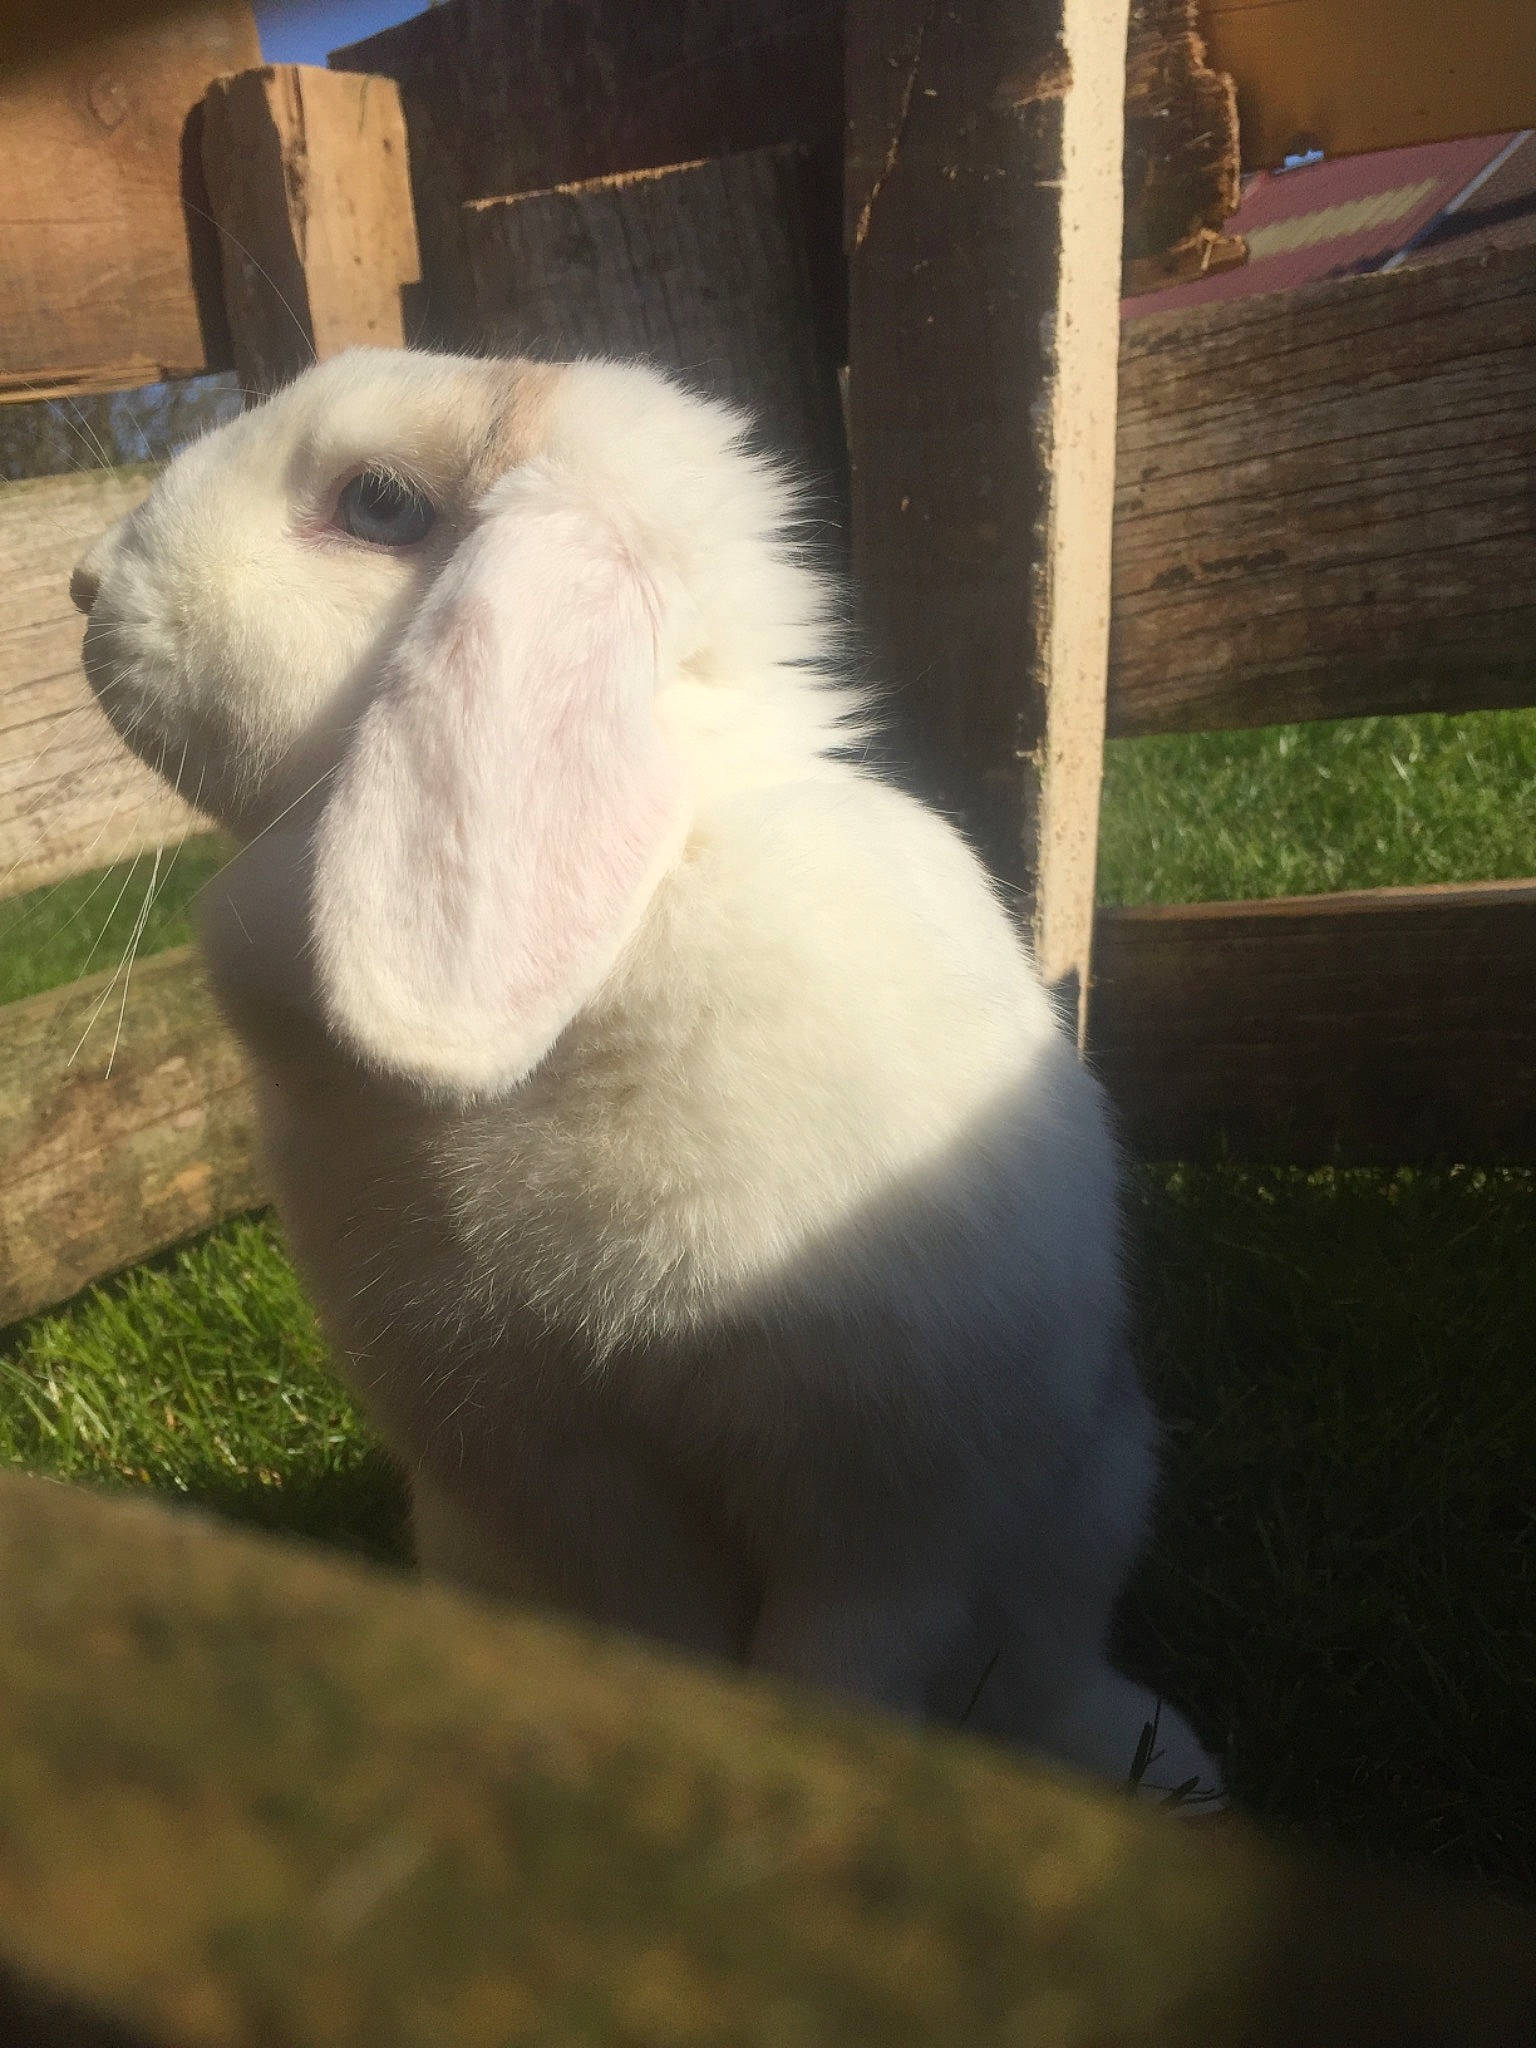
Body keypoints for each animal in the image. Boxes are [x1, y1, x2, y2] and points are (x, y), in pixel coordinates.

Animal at [71, 347, 1222, 1805]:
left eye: (380, 504)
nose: (86, 585)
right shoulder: (564, 1474)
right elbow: (658, 1641)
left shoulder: (885, 1507)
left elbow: (838, 1671)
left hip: (1084, 1506)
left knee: (1040, 1674)